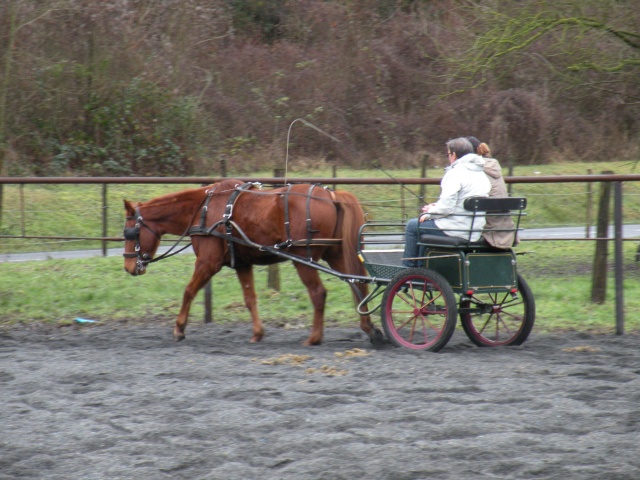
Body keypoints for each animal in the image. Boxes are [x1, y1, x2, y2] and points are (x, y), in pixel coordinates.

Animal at [122, 178, 382, 346]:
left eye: (130, 233)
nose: (129, 267)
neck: (204, 209)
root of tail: (332, 195)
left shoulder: (207, 262)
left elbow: (188, 291)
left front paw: (179, 328)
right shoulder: (242, 264)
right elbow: (250, 298)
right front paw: (257, 333)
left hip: (303, 259)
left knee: (319, 293)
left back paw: (314, 338)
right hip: (336, 255)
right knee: (358, 285)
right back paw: (370, 329)